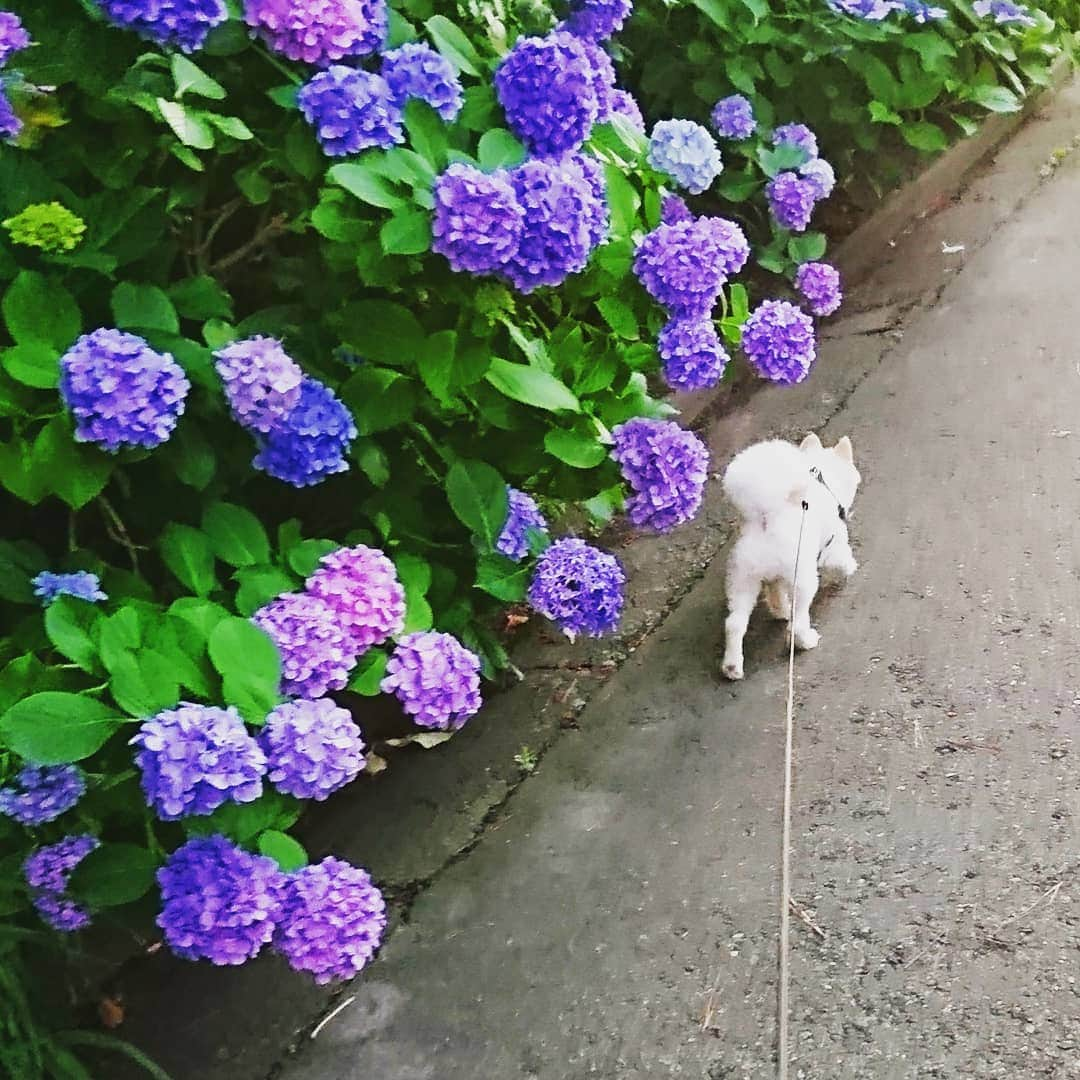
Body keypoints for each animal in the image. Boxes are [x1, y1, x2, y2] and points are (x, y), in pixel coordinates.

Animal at [717, 432, 859, 678]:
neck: (823, 481)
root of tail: (766, 518)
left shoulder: (773, 579)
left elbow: (775, 594)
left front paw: (779, 610)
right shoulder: (834, 544)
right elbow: (842, 560)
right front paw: (850, 569)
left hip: (743, 579)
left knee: (734, 623)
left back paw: (732, 666)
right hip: (802, 579)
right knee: (796, 624)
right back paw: (807, 641)